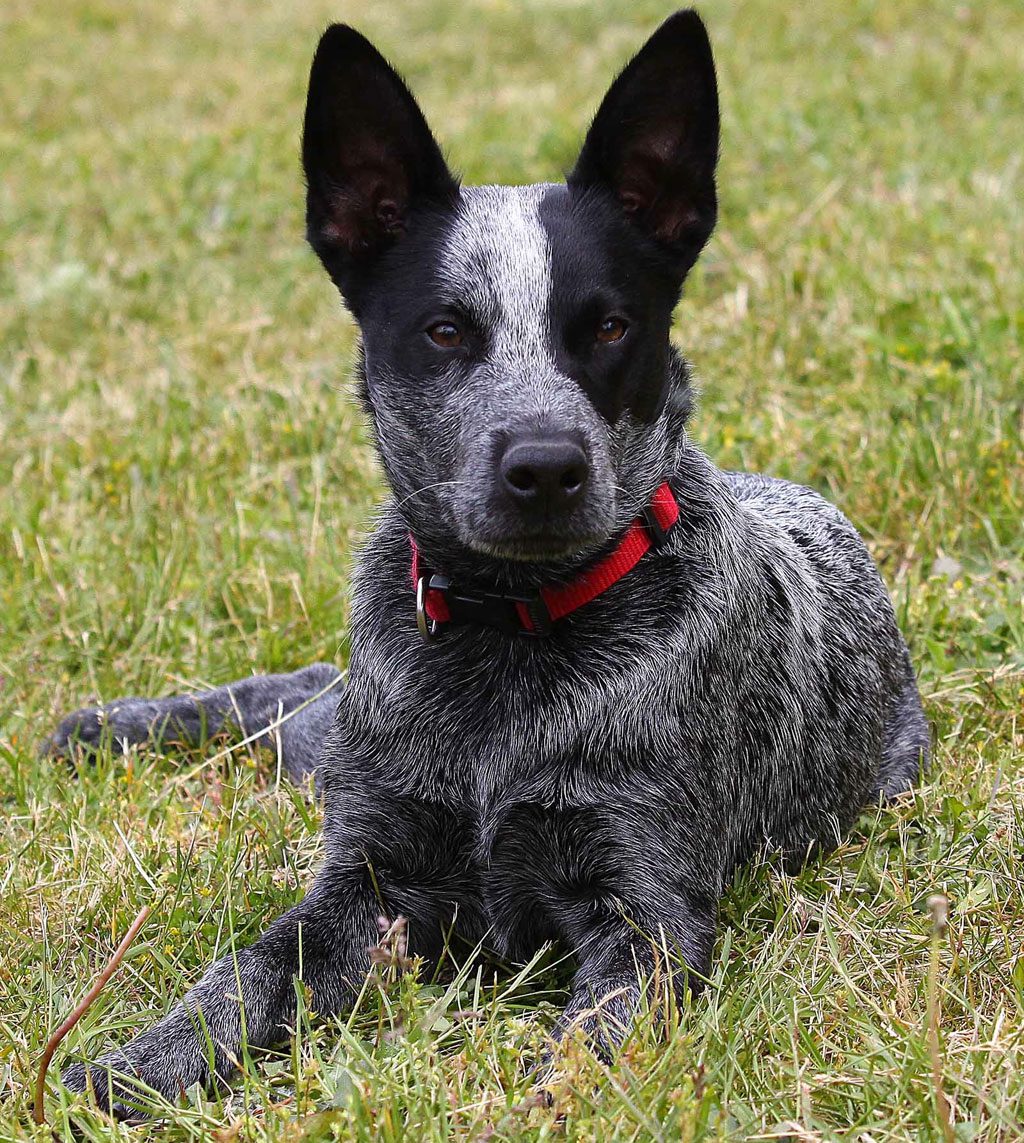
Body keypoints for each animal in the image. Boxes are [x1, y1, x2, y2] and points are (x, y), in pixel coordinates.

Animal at [52, 8, 928, 1115]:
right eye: (444, 330)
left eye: (609, 325)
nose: (544, 465)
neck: (509, 636)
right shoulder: (367, 880)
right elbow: (243, 975)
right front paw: (128, 1067)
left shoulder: (641, 906)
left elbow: (583, 1051)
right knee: (287, 694)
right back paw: (105, 726)